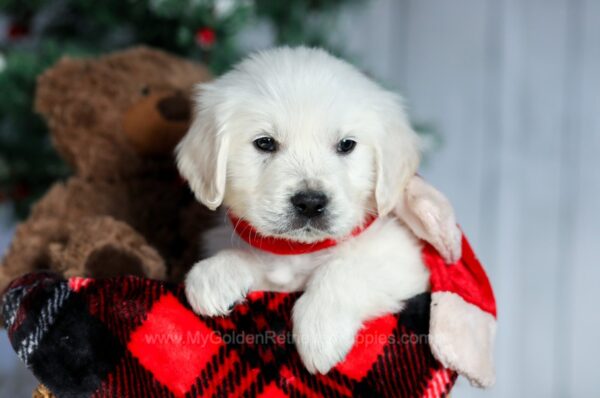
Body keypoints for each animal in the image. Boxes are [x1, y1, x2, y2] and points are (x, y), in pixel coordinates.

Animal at [176, 46, 452, 374]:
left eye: (346, 145)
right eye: (265, 143)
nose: (310, 202)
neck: (299, 251)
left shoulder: (404, 258)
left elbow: (345, 269)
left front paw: (321, 328)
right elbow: (253, 257)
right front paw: (216, 273)